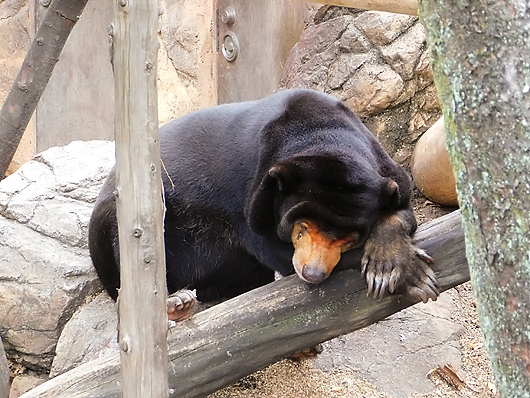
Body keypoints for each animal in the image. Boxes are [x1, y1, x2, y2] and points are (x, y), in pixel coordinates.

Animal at [87, 88, 438, 320]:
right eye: (301, 226)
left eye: (349, 236)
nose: (312, 274)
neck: (322, 136)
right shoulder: (252, 194)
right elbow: (271, 248)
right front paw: (413, 275)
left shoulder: (387, 169)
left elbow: (401, 209)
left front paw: (390, 263)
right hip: (119, 220)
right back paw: (175, 303)